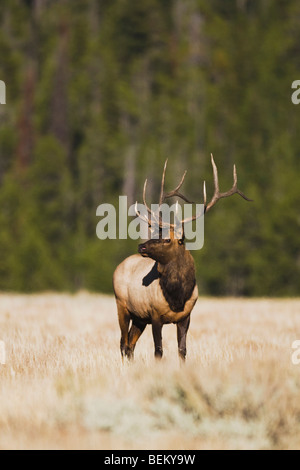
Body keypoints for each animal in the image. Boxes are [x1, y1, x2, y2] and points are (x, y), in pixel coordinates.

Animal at [112, 156, 251, 362]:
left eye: (167, 239)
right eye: (156, 233)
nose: (141, 246)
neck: (177, 297)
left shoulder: (186, 316)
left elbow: (182, 350)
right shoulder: (155, 315)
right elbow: (158, 351)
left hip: (139, 317)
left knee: (130, 344)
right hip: (121, 305)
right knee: (123, 343)